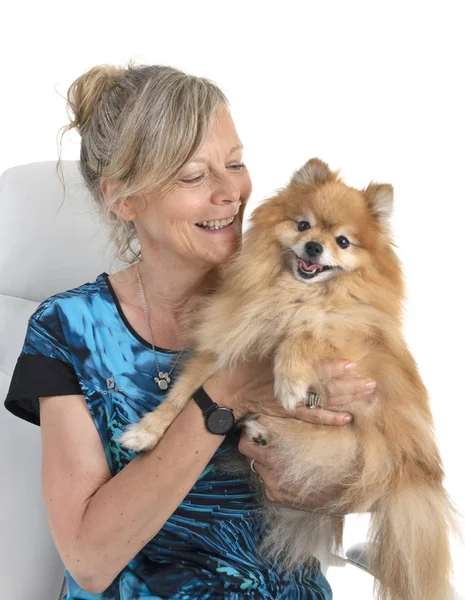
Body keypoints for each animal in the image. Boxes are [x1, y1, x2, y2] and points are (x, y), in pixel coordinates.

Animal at [120, 158, 456, 600]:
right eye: (303, 225)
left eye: (343, 242)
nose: (314, 246)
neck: (292, 292)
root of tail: (417, 472)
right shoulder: (226, 344)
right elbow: (182, 395)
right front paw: (147, 431)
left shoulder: (351, 348)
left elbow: (303, 332)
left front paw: (290, 378)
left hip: (373, 434)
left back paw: (269, 427)